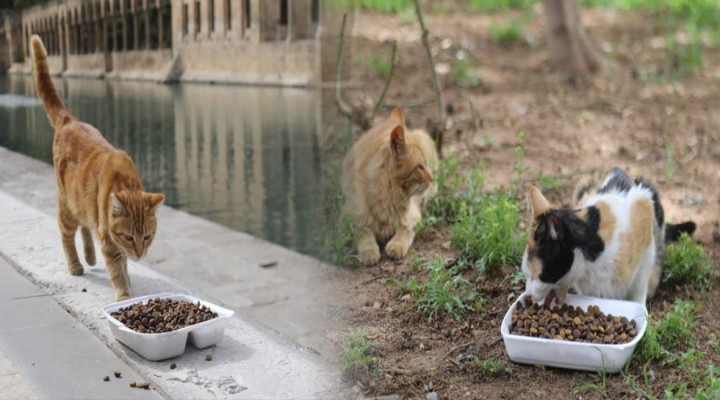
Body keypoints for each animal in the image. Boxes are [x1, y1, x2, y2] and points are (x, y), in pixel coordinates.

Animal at [31, 35, 165, 300]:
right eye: (129, 237)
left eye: (147, 237)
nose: (139, 254)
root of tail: (69, 120)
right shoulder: (109, 241)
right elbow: (117, 269)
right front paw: (124, 295)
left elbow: (121, 263)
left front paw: (128, 278)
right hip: (67, 206)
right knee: (67, 234)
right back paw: (76, 264)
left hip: (82, 203)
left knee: (85, 225)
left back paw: (90, 256)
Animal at [344, 107, 438, 266]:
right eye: (420, 167)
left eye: (426, 164)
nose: (431, 179)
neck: (390, 195)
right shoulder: (350, 218)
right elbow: (364, 232)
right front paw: (369, 251)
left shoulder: (413, 216)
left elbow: (404, 229)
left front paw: (396, 245)